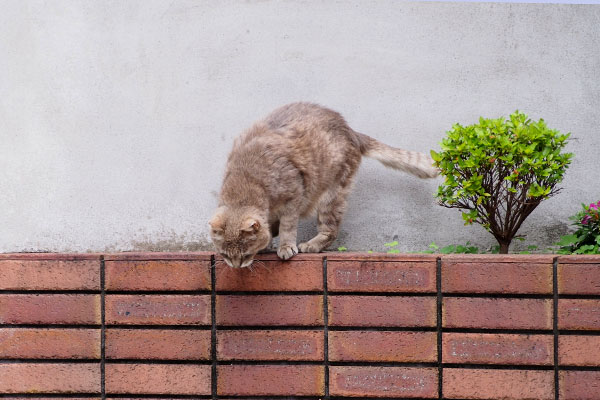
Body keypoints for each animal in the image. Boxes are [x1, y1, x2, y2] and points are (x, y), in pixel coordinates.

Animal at [210, 101, 436, 268]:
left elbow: (287, 226)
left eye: (245, 254)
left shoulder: (294, 196)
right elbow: (271, 227)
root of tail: (350, 130)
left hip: (331, 196)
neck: (246, 178)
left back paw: (311, 245)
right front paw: (267, 241)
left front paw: (285, 246)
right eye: (225, 254)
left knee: (331, 231)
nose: (236, 266)